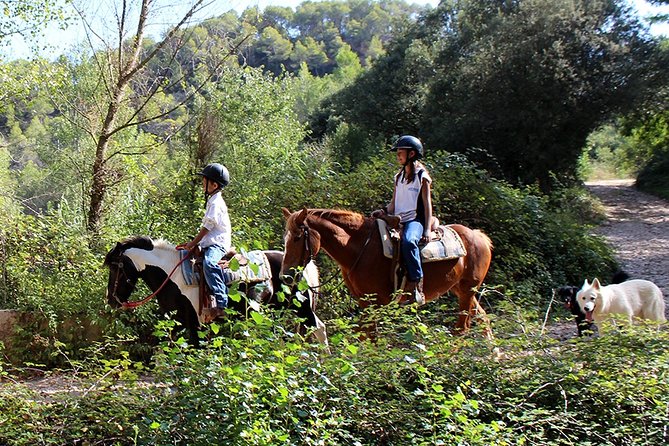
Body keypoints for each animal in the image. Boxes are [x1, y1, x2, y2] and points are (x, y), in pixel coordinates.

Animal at [102, 235, 328, 346]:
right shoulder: (175, 321)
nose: (111, 300)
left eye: (115, 268)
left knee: (317, 328)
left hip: (302, 307)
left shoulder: (194, 322)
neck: (172, 276)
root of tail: (304, 266)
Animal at [280, 209, 494, 338]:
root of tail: (478, 236)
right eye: (286, 238)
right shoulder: (364, 301)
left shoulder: (375, 301)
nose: (285, 276)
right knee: (483, 318)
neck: (359, 247)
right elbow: (364, 335)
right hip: (461, 290)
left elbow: (371, 336)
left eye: (298, 237)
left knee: (462, 328)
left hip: (467, 290)